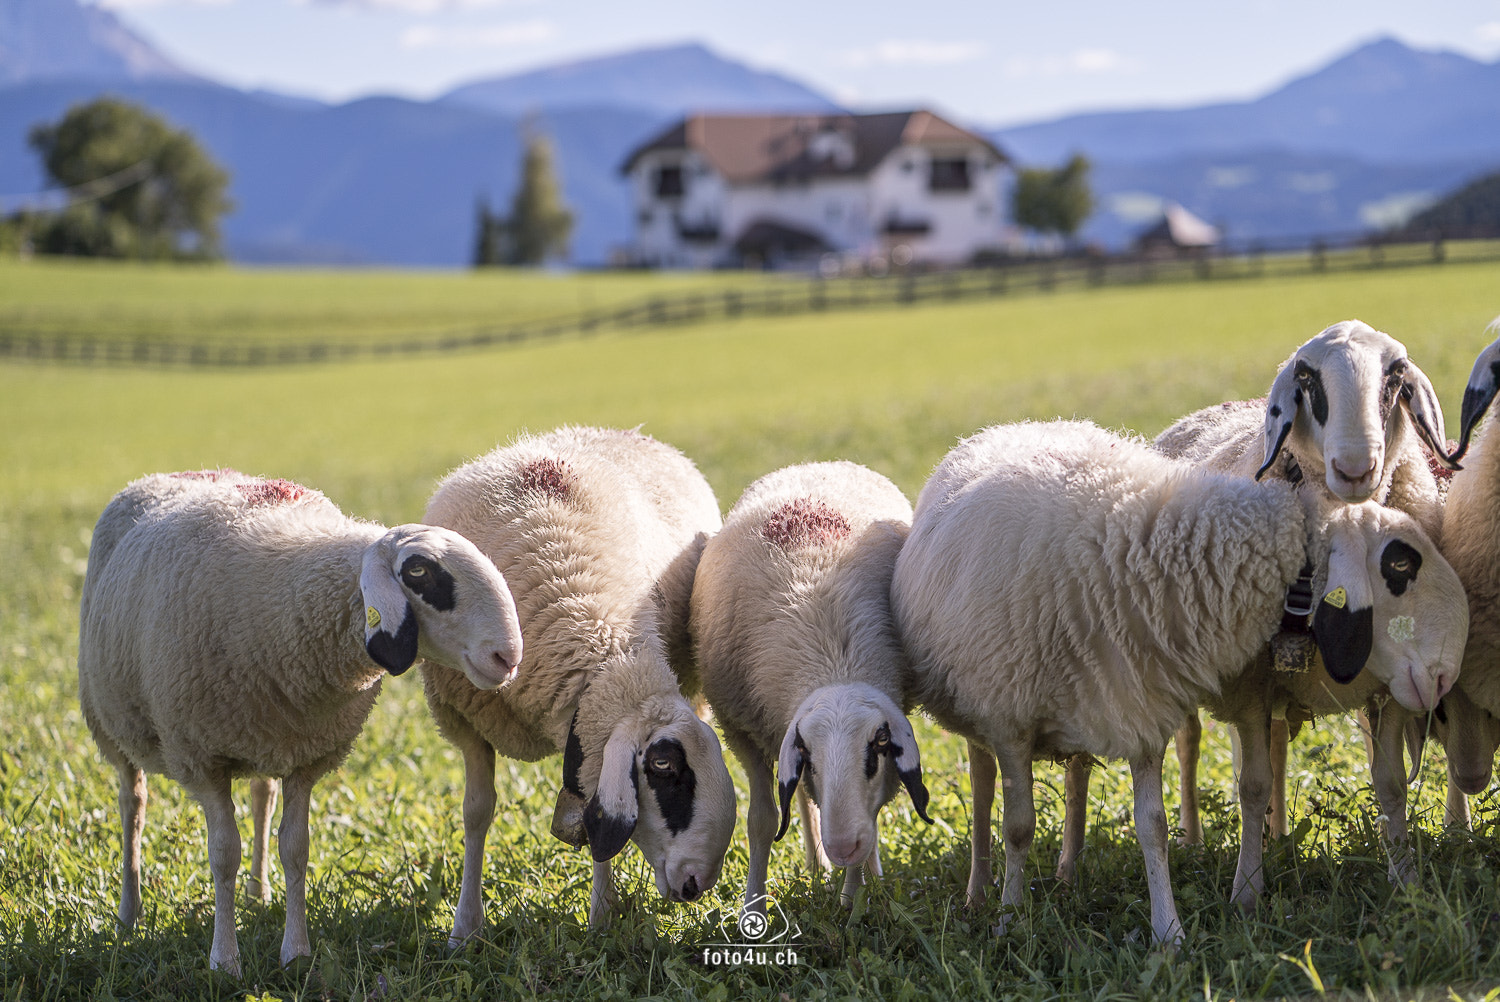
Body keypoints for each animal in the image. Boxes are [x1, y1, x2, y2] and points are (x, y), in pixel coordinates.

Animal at [77, 469, 524, 976]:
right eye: (419, 572)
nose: (507, 657)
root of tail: (162, 475)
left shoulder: (306, 754)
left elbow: (296, 848)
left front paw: (295, 953)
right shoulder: (201, 757)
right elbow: (222, 854)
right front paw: (224, 961)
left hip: (265, 734)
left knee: (261, 797)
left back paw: (258, 893)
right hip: (108, 721)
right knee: (132, 805)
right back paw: (129, 913)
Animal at [419, 425, 737, 941]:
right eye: (663, 766)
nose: (696, 885)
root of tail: (632, 432)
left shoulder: (590, 734)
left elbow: (593, 817)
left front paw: (601, 915)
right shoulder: (464, 718)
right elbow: (477, 812)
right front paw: (465, 927)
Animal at [688, 461, 932, 919]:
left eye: (880, 745)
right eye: (809, 753)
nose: (842, 846)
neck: (833, 662)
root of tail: (814, 464)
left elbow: (870, 815)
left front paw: (852, 903)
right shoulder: (743, 730)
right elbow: (762, 821)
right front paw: (753, 909)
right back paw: (818, 866)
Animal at [889, 420, 1464, 945]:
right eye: (1401, 561)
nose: (1446, 673)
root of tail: (1009, 427)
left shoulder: (1137, 707)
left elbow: (1153, 827)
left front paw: (1168, 932)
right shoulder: (1010, 721)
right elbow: (1018, 827)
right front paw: (1010, 920)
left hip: (1088, 696)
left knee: (1075, 779)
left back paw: (1069, 871)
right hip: (982, 708)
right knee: (983, 792)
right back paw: (979, 892)